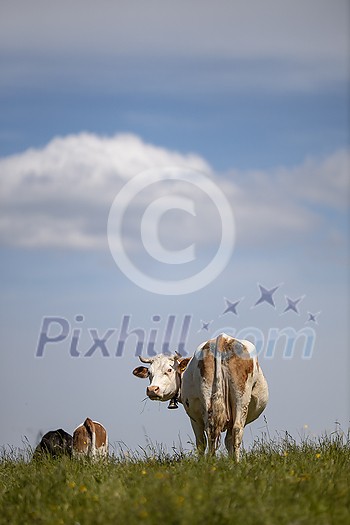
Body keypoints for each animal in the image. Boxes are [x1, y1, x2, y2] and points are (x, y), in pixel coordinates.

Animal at [133, 334, 270, 460]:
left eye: (169, 370)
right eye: (149, 372)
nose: (152, 389)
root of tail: (222, 338)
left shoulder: (194, 417)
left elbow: (204, 442)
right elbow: (222, 442)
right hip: (239, 398)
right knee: (232, 430)